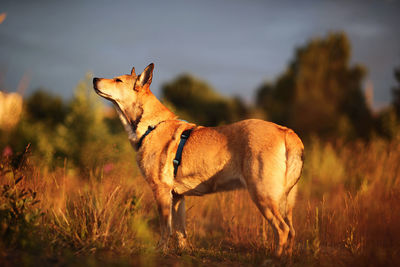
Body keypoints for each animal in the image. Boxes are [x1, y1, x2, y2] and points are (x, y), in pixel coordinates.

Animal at [92, 63, 304, 258]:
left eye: (118, 80)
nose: (94, 79)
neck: (151, 125)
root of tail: (286, 131)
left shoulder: (161, 190)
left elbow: (165, 227)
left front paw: (160, 251)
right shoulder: (177, 196)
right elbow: (180, 231)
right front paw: (184, 252)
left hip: (263, 194)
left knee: (282, 230)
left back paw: (275, 258)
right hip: (285, 201)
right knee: (292, 231)